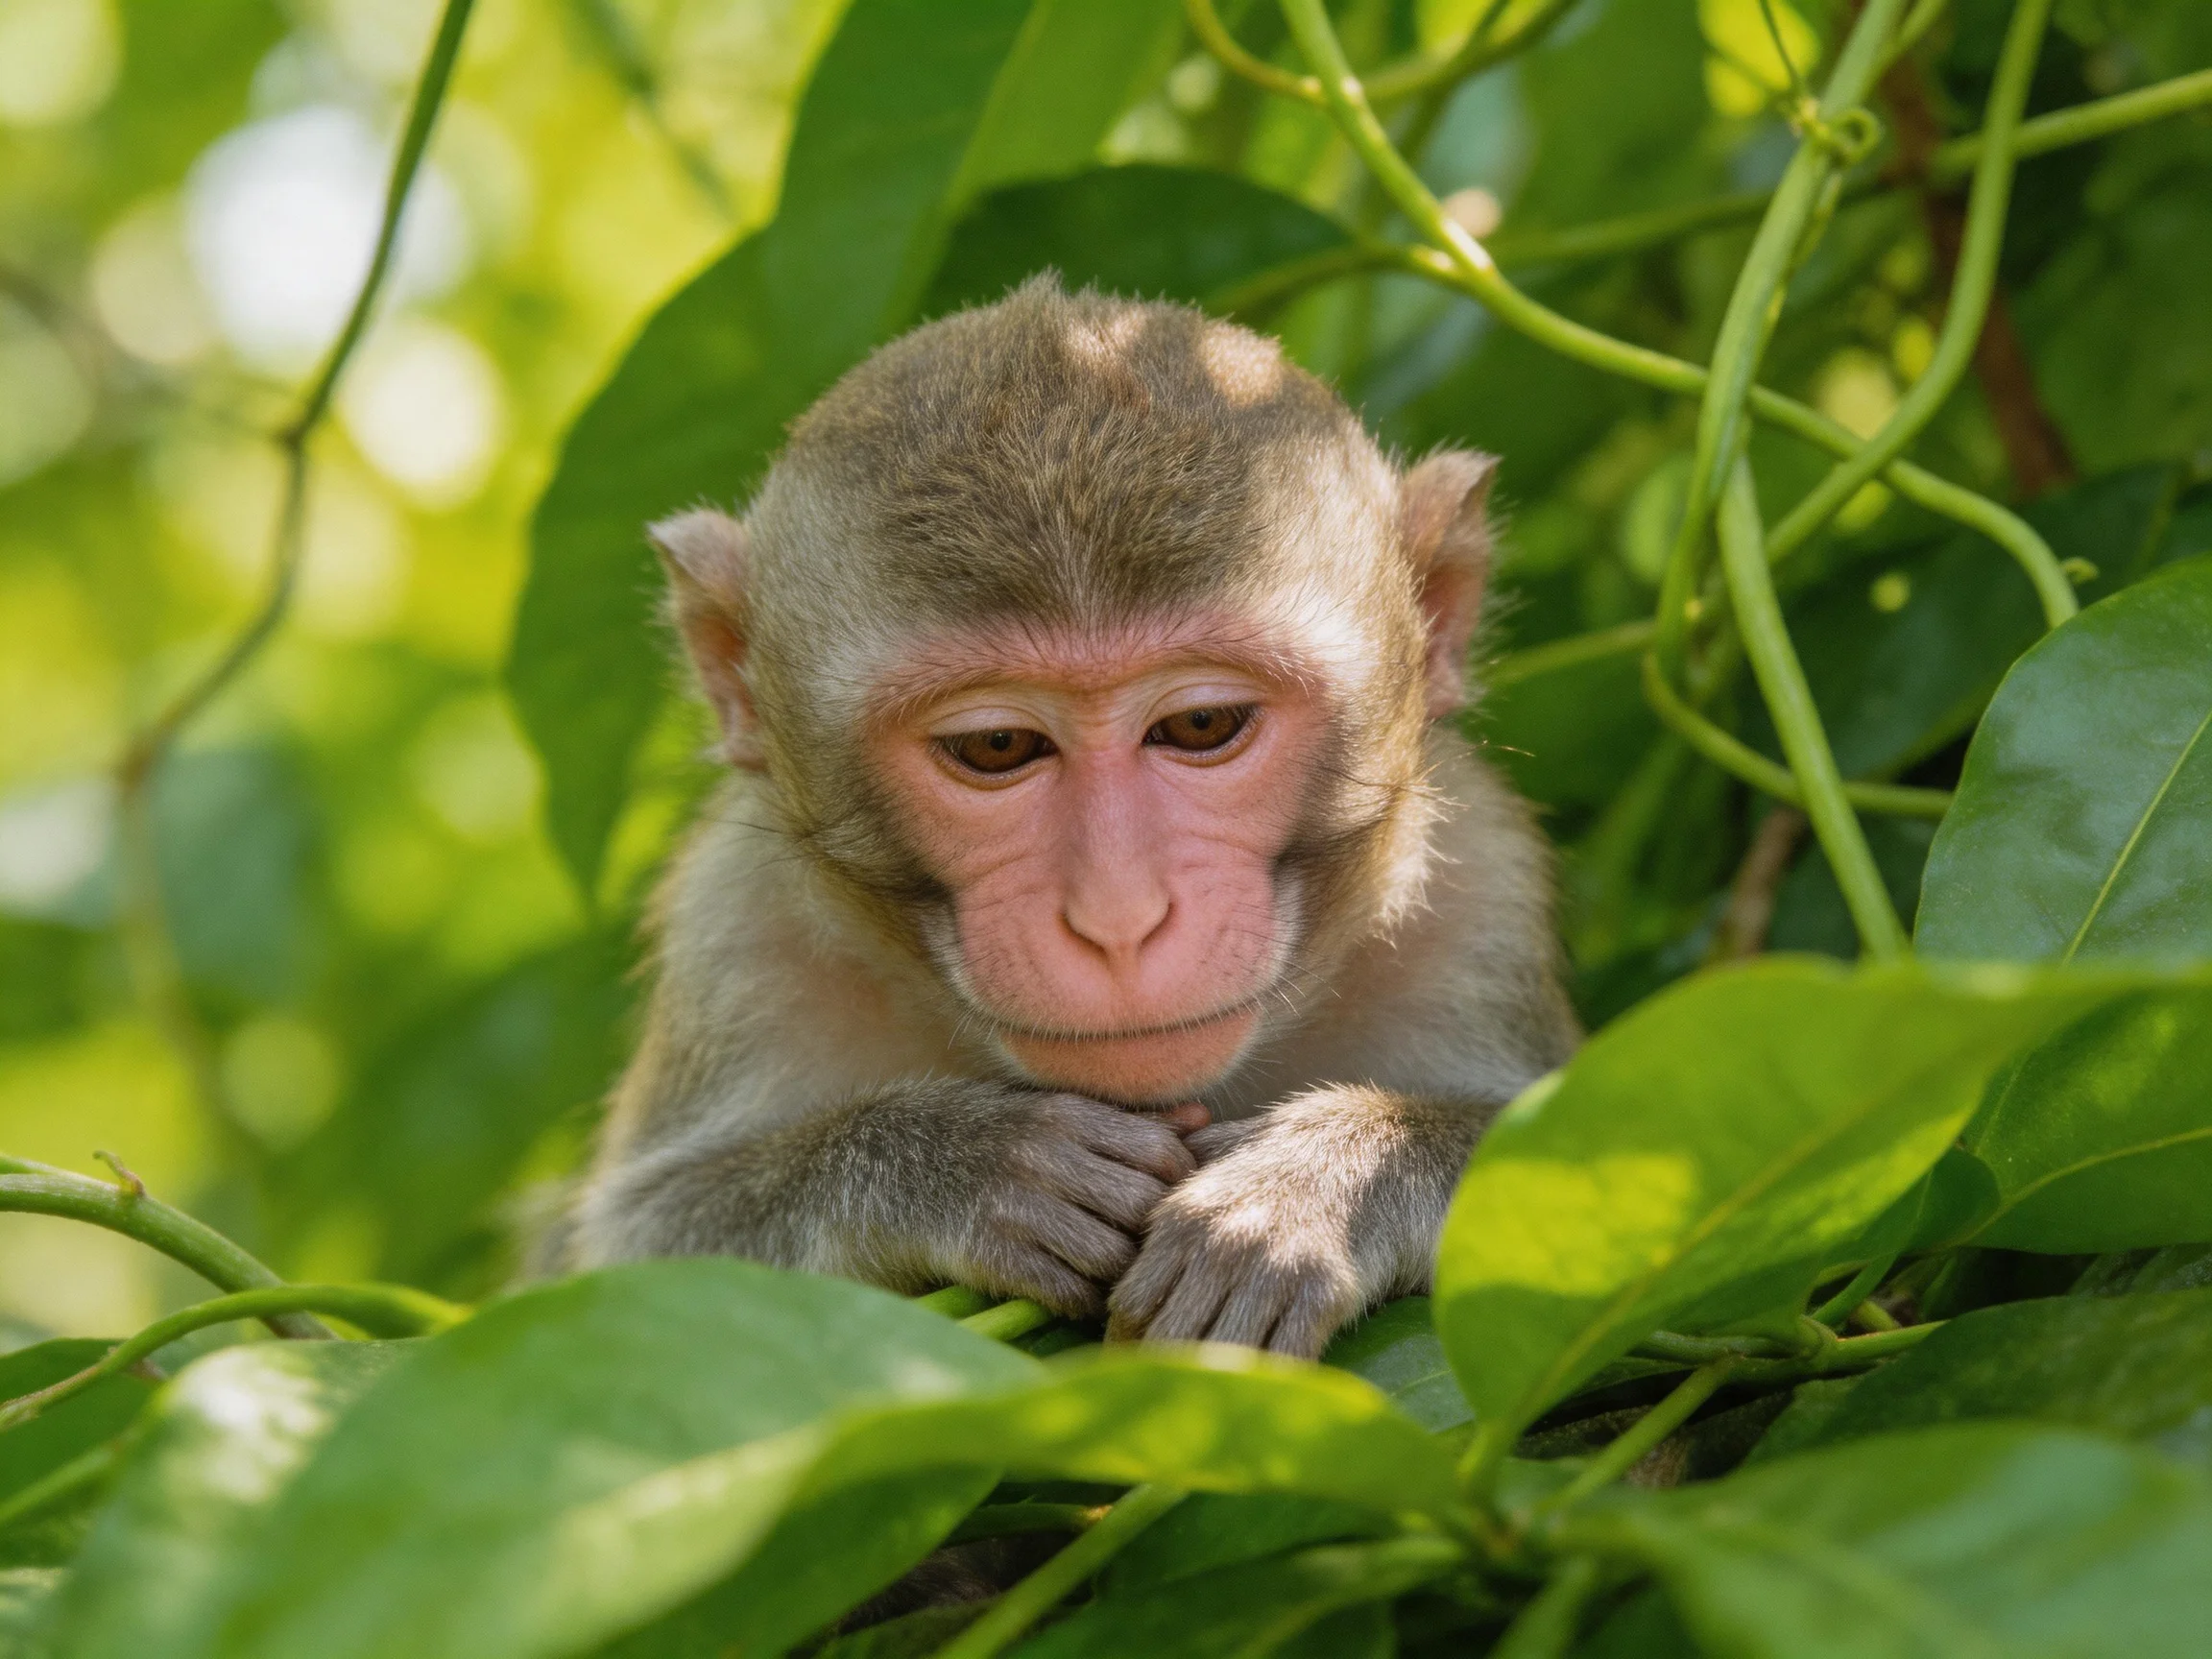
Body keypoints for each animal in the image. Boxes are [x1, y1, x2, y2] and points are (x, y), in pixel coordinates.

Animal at [568, 276, 1578, 1358]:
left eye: (1200, 724)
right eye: (997, 747)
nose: (1118, 919)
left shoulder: (1481, 894)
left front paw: (1313, 1184)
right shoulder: (734, 932)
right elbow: (629, 1254)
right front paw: (971, 1163)